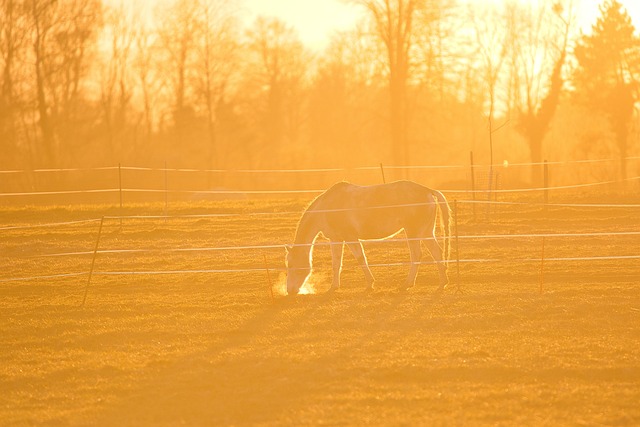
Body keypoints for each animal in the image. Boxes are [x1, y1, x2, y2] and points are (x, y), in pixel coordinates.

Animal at [284, 179, 450, 296]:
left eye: (291, 265)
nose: (290, 291)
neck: (328, 208)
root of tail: (428, 191)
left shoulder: (350, 237)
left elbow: (360, 259)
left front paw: (370, 284)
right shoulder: (336, 239)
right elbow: (336, 263)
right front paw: (333, 287)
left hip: (413, 233)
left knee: (417, 255)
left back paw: (407, 284)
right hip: (426, 232)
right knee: (437, 252)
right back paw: (442, 283)